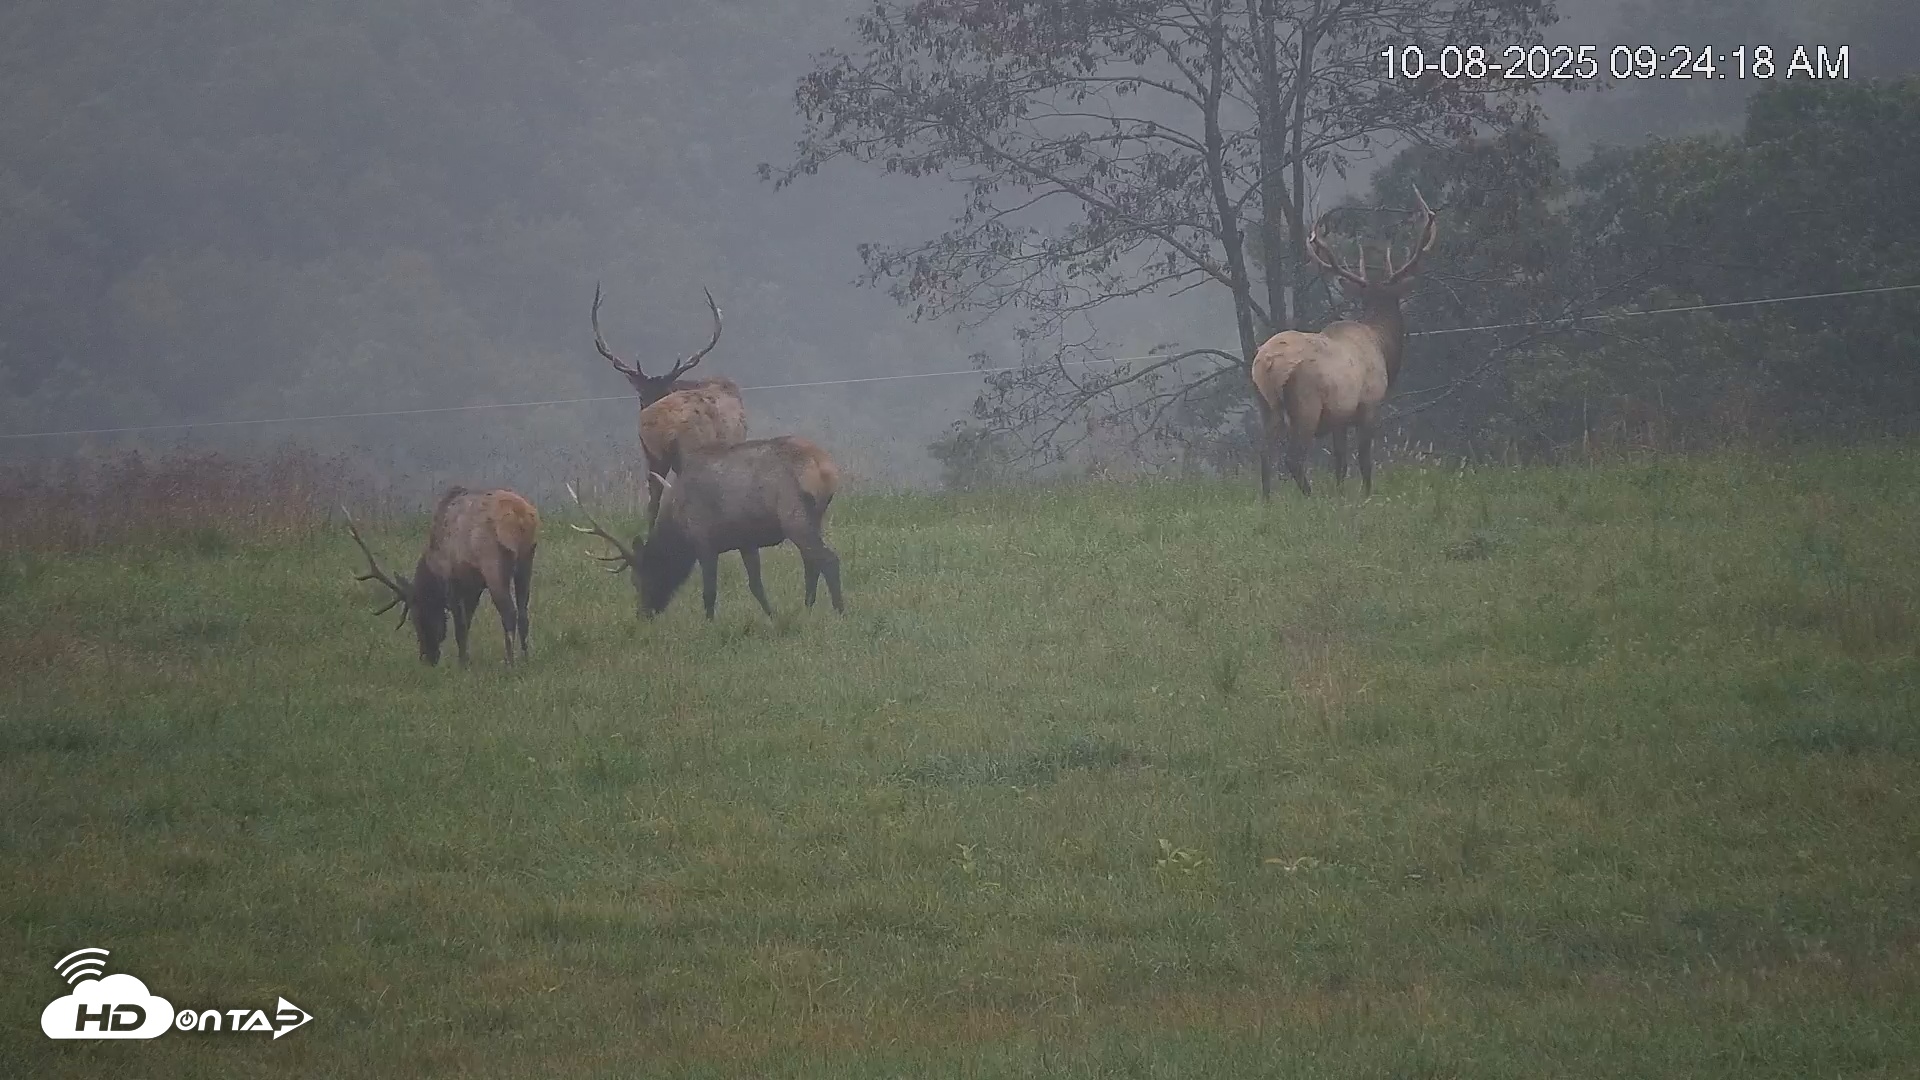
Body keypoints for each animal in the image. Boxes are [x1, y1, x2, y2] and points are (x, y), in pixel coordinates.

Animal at [344, 488, 539, 666]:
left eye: (416, 617)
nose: (427, 658)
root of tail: (521, 517)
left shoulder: (452, 580)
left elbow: (460, 626)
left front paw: (462, 663)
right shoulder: (473, 586)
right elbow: (467, 621)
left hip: (493, 564)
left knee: (509, 612)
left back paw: (510, 663)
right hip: (526, 559)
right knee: (523, 613)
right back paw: (526, 659)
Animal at [568, 436, 844, 620]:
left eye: (638, 580)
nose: (642, 614)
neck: (678, 530)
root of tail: (824, 468)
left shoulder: (704, 541)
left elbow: (709, 591)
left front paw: (709, 624)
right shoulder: (746, 542)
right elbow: (756, 585)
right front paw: (772, 616)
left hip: (793, 515)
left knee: (828, 559)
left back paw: (840, 612)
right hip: (813, 518)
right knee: (812, 562)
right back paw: (807, 608)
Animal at [1251, 187, 1439, 500]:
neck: (1383, 347)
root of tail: (1267, 364)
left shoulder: (1338, 417)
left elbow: (1340, 462)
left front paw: (1340, 495)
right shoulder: (1369, 405)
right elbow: (1364, 459)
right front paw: (1366, 495)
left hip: (1267, 406)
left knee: (1265, 454)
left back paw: (1268, 501)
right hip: (1305, 403)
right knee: (1293, 458)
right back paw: (1310, 498)